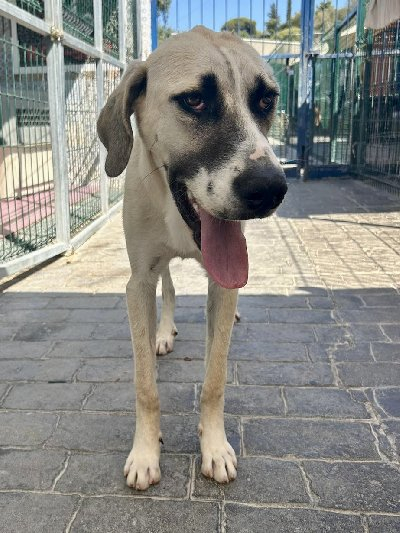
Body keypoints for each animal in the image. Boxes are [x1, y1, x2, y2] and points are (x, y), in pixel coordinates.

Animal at [97, 26, 287, 490]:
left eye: (265, 101)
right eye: (195, 100)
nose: (271, 189)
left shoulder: (222, 282)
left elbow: (214, 379)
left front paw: (214, 447)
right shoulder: (138, 282)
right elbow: (145, 385)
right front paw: (145, 453)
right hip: (157, 268)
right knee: (169, 288)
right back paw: (163, 332)